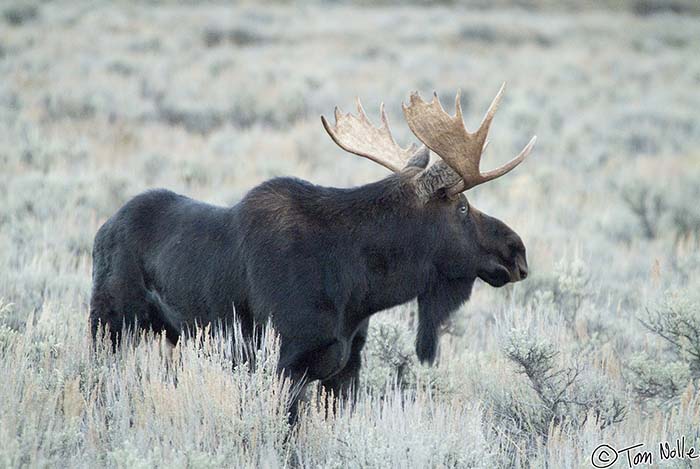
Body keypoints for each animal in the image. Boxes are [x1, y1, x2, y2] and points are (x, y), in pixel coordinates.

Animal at [89, 83, 536, 416]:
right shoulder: (284, 364)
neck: (359, 289)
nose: (517, 251)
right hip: (109, 325)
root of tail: (102, 230)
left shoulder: (347, 368)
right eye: (461, 207)